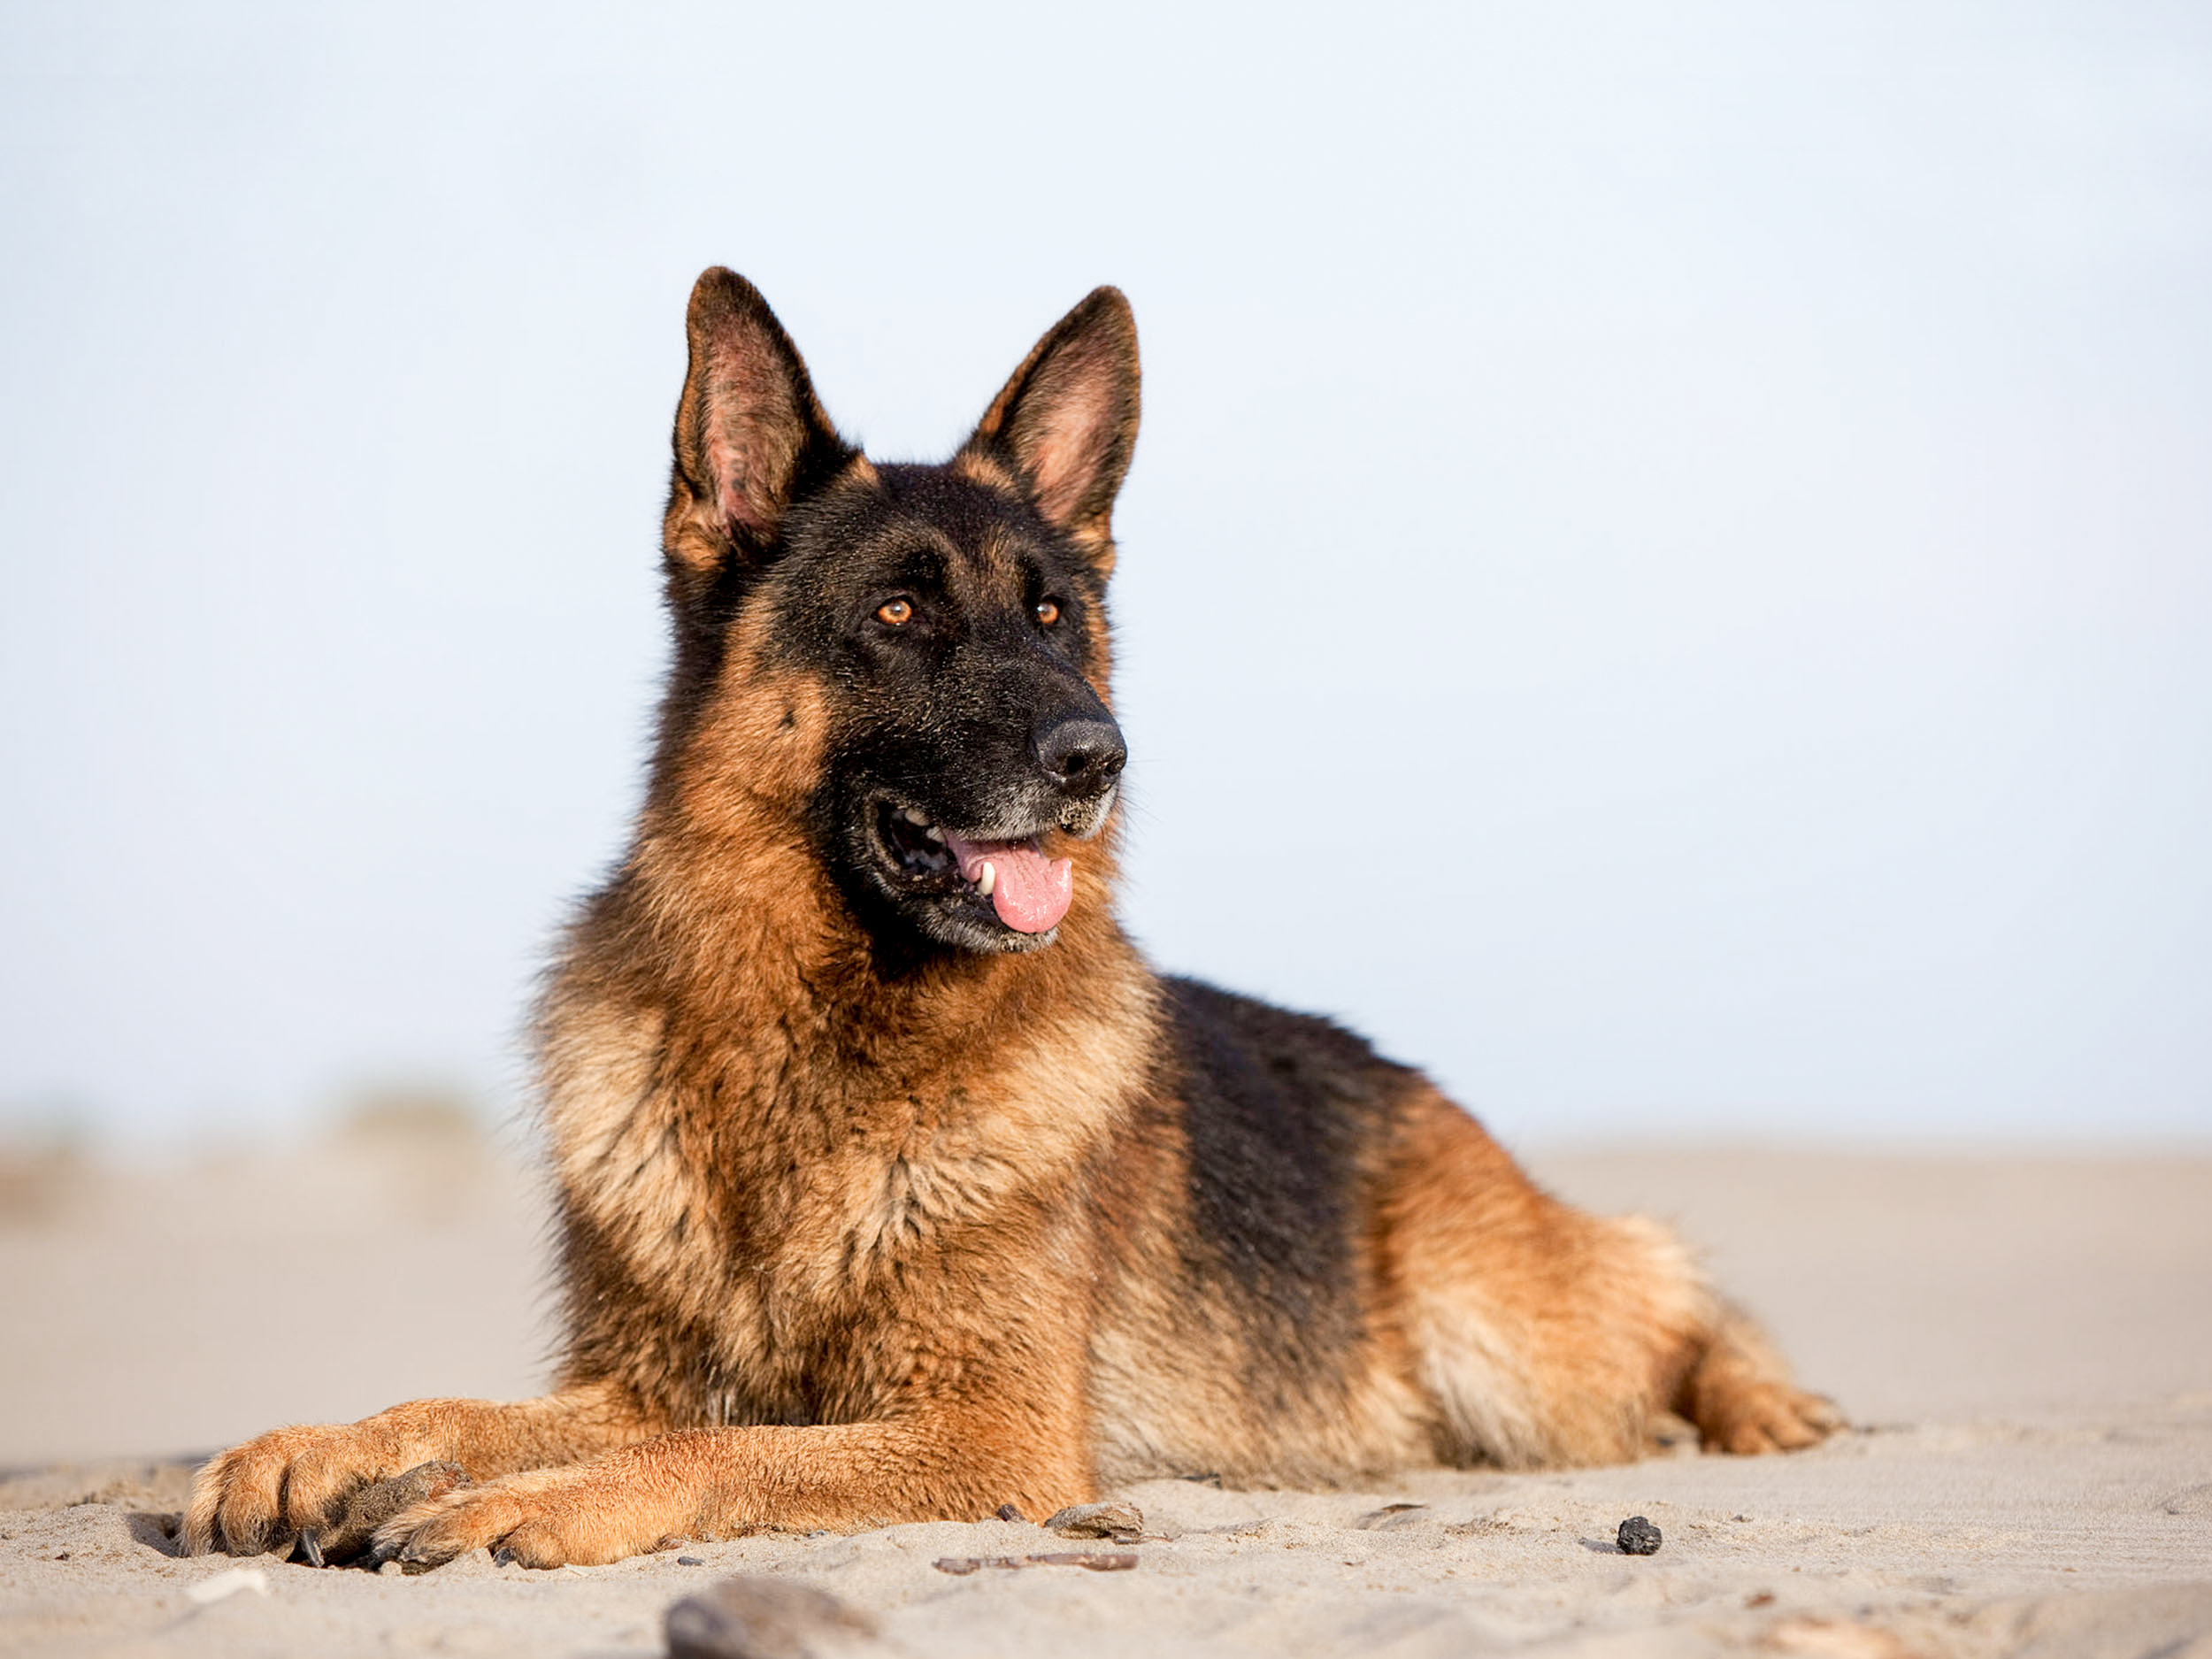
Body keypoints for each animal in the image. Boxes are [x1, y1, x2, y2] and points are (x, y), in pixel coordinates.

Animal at [186, 270, 1832, 1575]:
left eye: (1052, 617)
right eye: (900, 615)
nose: (1098, 756)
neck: (817, 1040)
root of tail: (1411, 1083)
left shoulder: (982, 1434)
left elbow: (713, 1453)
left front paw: (514, 1502)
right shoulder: (636, 1379)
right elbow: (455, 1408)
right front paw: (317, 1444)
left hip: (1506, 1338)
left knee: (1657, 1288)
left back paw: (1764, 1398)